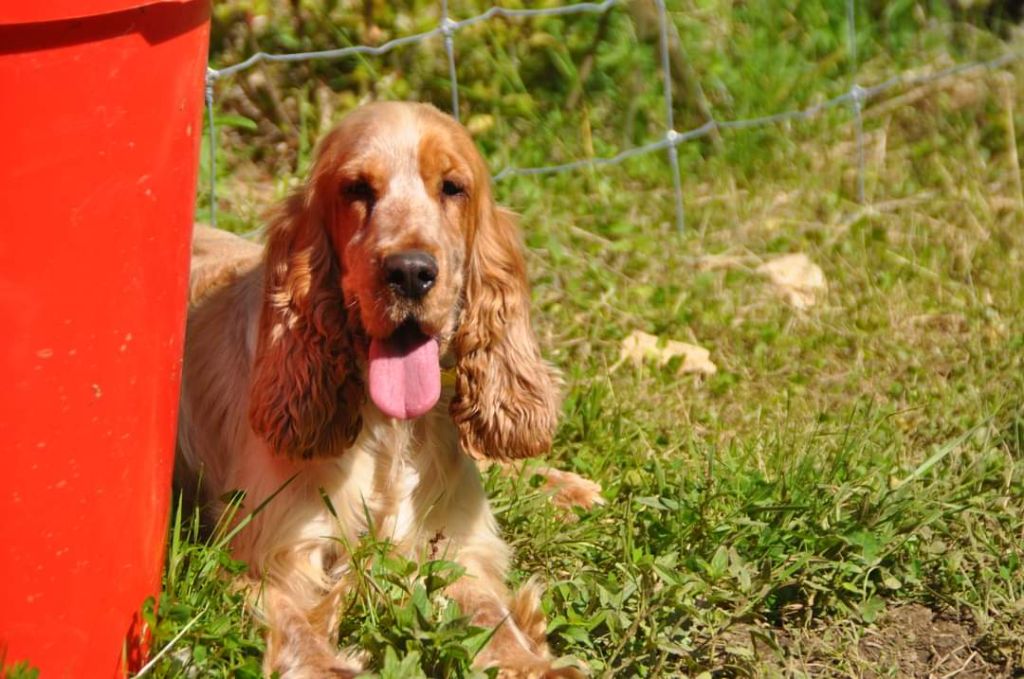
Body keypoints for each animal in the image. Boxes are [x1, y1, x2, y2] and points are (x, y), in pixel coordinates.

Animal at [178, 102, 585, 679]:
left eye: (453, 187)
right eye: (356, 189)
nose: (410, 272)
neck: (389, 430)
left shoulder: (456, 546)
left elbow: (492, 615)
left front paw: (531, 663)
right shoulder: (265, 556)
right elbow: (294, 622)